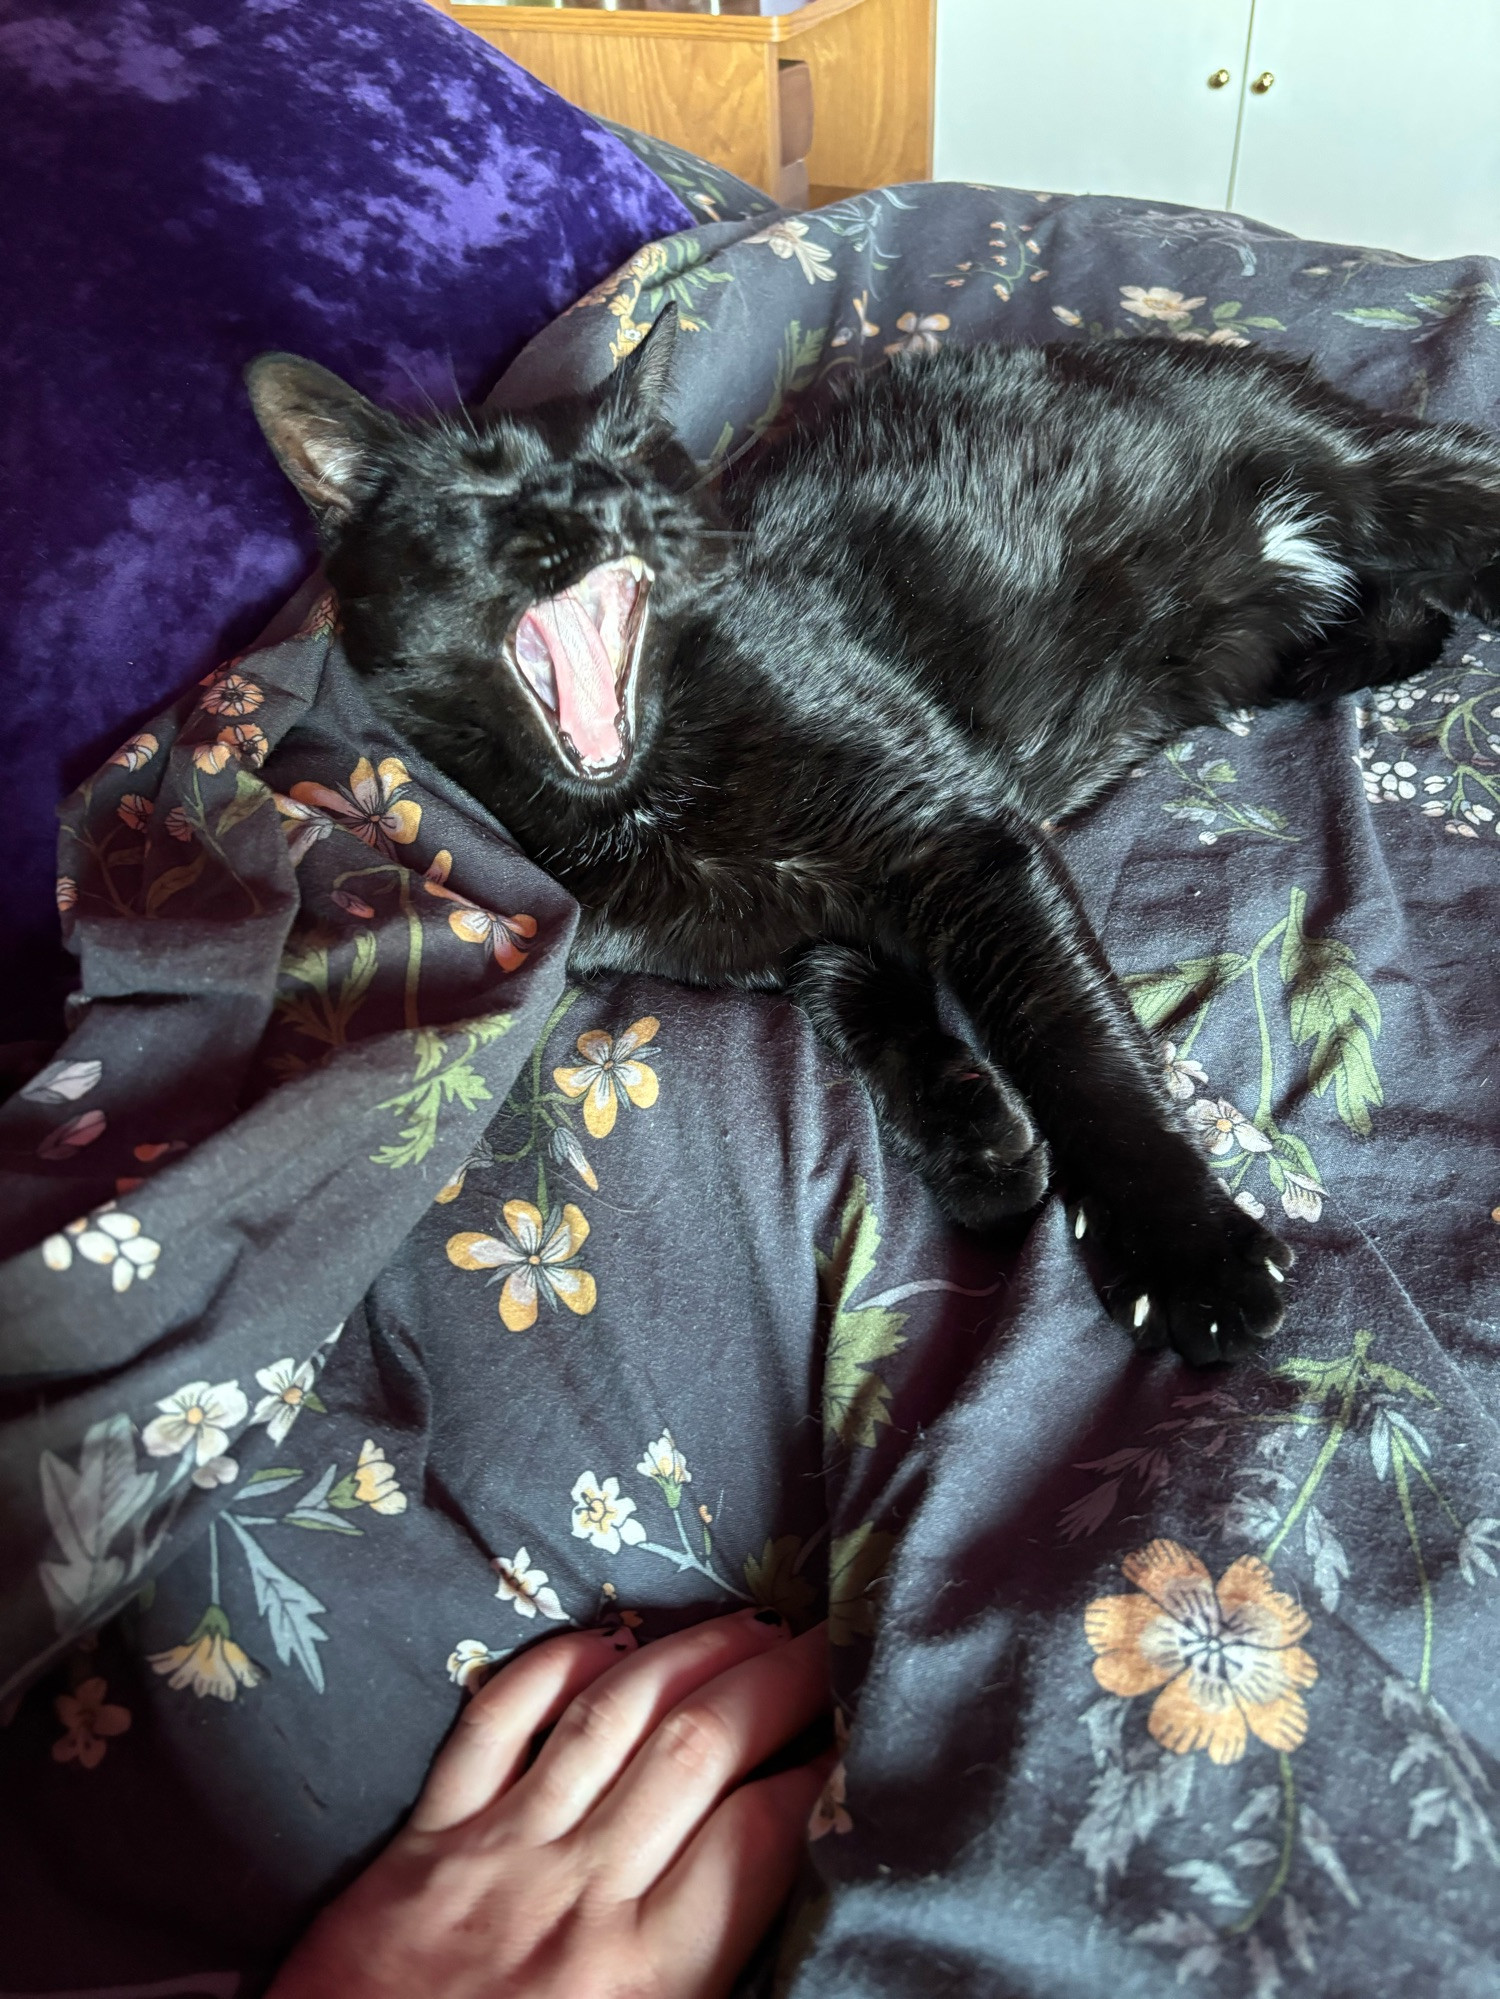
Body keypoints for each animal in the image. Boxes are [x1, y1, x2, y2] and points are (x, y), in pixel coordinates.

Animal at [247, 319, 1500, 1367]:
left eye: (639, 464)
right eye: (484, 490)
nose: (608, 507)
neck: (648, 799)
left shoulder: (966, 840)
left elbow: (1072, 1039)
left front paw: (1181, 1251)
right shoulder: (803, 934)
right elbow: (861, 1008)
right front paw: (976, 1143)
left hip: (1387, 480)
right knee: (1410, 618)